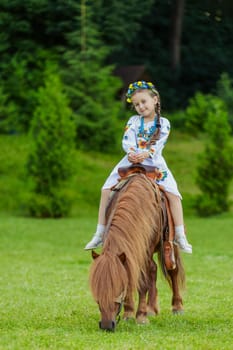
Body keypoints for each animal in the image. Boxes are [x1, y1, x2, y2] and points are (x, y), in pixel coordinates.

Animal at [89, 170, 186, 330]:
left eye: (117, 288)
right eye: (97, 291)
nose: (106, 325)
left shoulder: (144, 252)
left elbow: (142, 283)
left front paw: (141, 316)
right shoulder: (130, 254)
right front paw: (129, 313)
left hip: (171, 245)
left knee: (173, 270)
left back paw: (177, 307)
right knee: (153, 270)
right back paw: (151, 308)